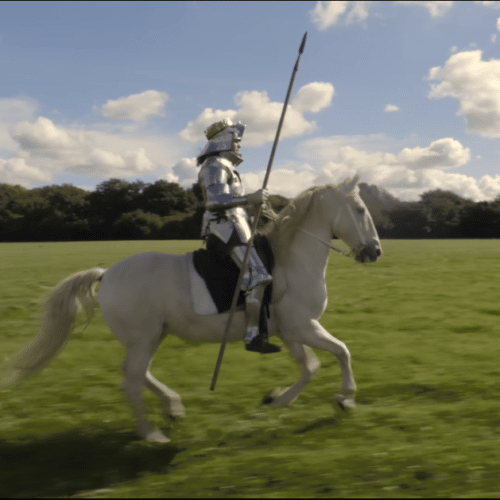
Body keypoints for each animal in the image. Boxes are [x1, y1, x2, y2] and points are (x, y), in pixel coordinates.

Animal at [0, 178, 382, 444]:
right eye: (361, 210)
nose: (376, 251)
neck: (291, 260)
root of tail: (106, 274)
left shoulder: (289, 332)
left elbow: (311, 367)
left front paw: (277, 399)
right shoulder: (305, 327)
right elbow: (341, 352)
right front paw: (347, 398)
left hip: (151, 336)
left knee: (138, 373)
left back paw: (172, 407)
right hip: (144, 338)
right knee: (132, 380)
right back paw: (152, 433)